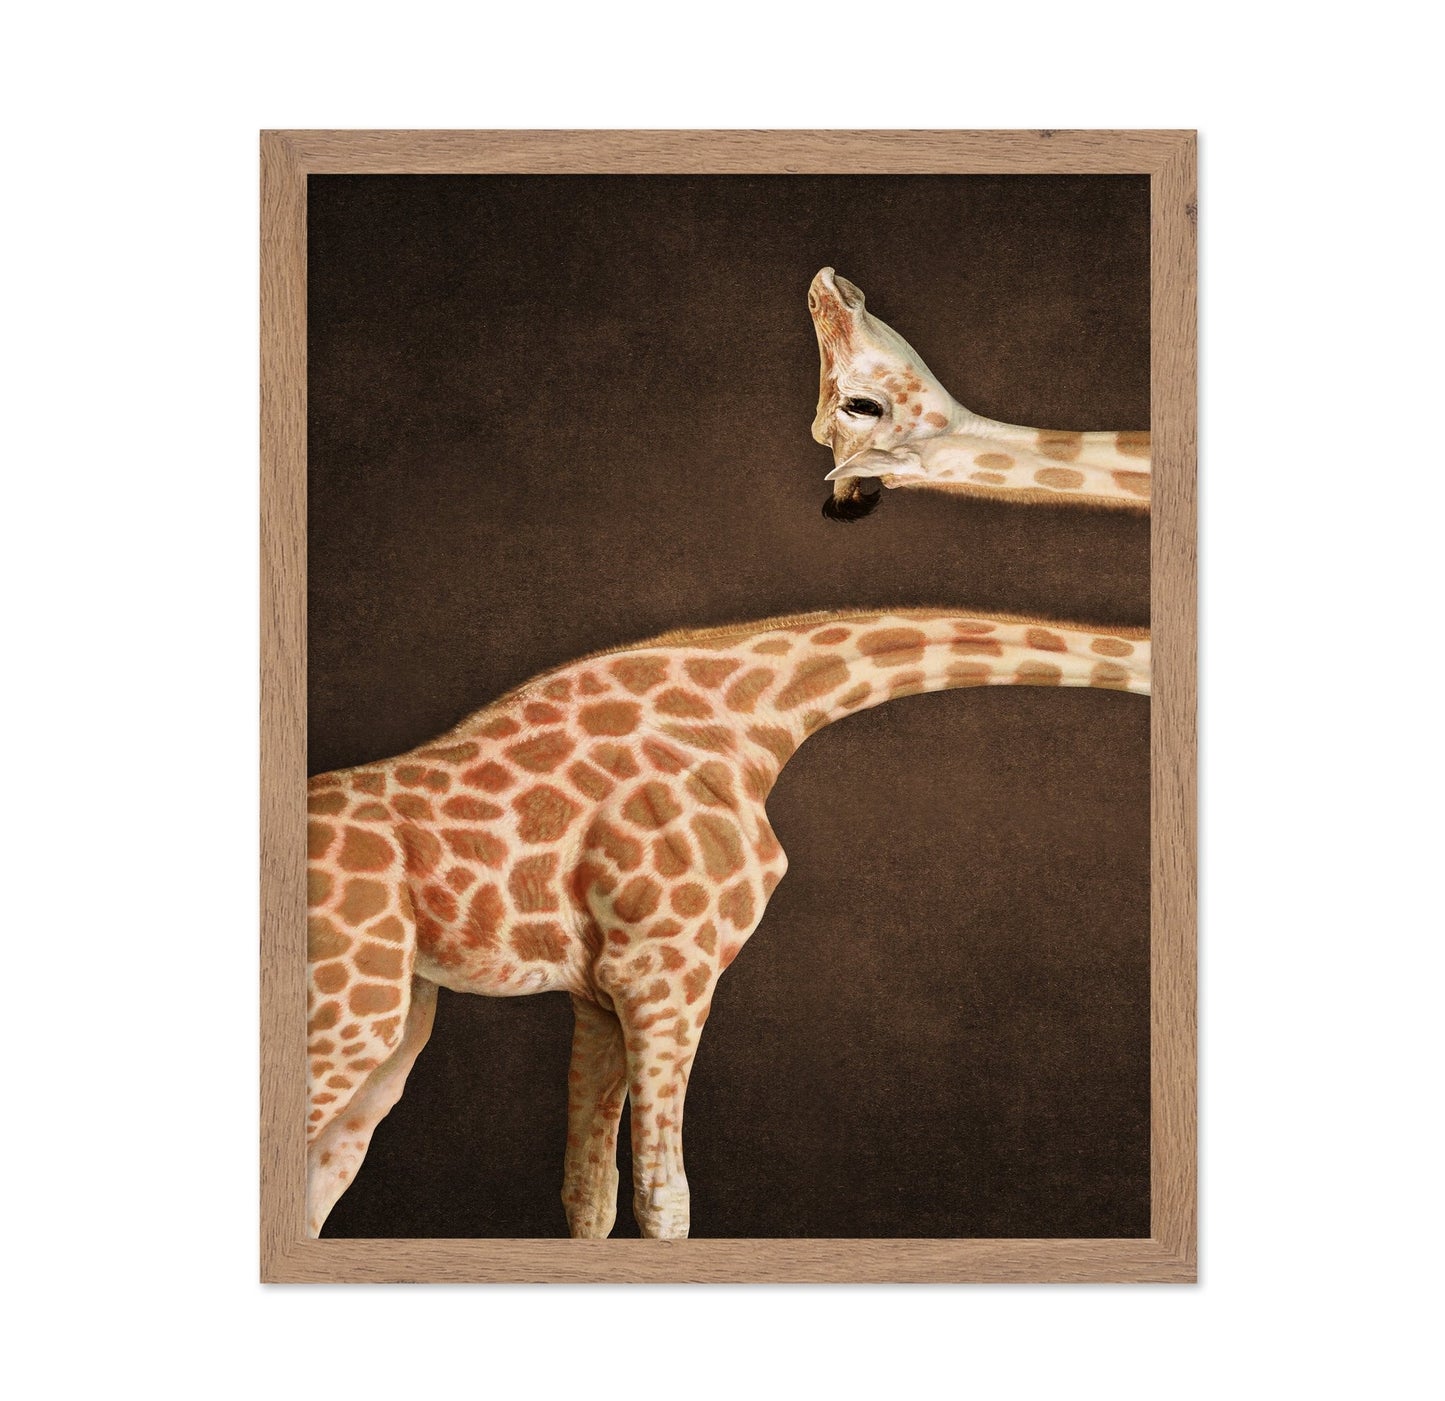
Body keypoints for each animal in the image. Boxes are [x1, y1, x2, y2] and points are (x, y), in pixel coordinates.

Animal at [306, 606, 1150, 1239]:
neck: (760, 714)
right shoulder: (665, 971)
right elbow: (663, 1196)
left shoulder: (599, 991)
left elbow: (589, 1194)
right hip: (351, 1014)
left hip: (396, 1023)